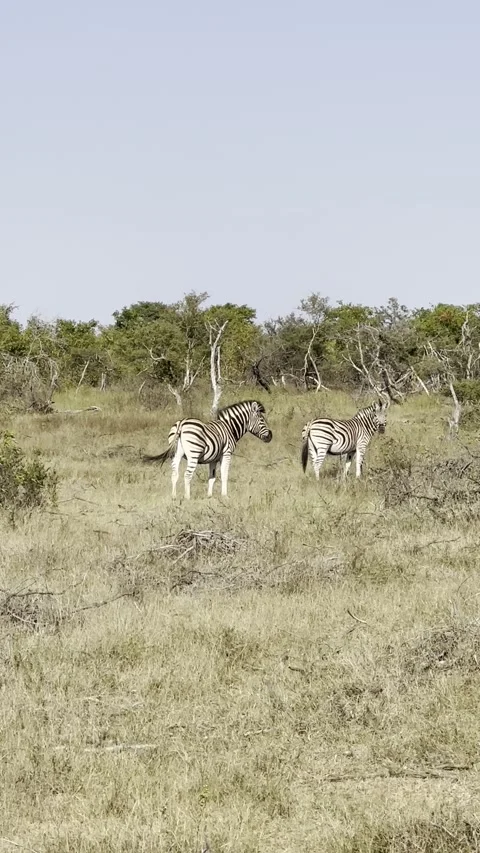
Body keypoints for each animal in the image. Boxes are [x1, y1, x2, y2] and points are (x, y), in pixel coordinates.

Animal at [142, 400, 272, 498]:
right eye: (262, 420)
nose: (270, 436)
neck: (229, 428)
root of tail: (182, 423)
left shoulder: (213, 459)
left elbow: (212, 477)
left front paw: (209, 496)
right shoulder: (226, 454)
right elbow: (224, 474)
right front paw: (225, 496)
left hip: (176, 454)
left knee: (175, 474)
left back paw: (174, 497)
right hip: (194, 454)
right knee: (187, 475)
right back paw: (187, 497)